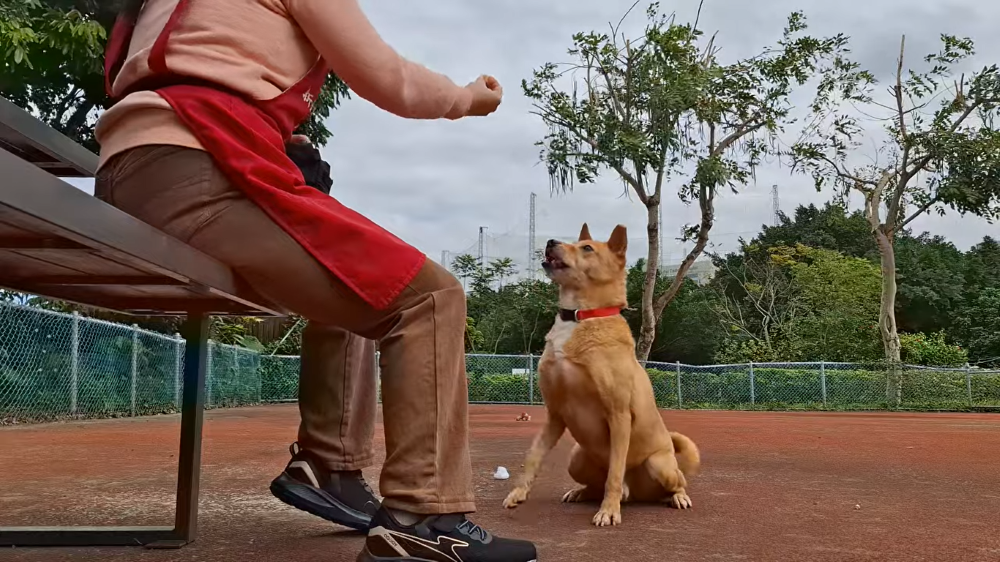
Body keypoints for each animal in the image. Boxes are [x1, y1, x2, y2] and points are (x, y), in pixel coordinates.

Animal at [504, 223, 700, 524]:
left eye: (587, 248)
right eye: (576, 242)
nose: (550, 242)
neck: (581, 316)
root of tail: (636, 494)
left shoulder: (618, 415)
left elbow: (615, 473)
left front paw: (608, 511)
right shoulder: (555, 414)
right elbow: (533, 457)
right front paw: (517, 493)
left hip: (660, 464)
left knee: (675, 483)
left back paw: (675, 497)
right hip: (577, 458)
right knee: (595, 484)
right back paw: (581, 492)